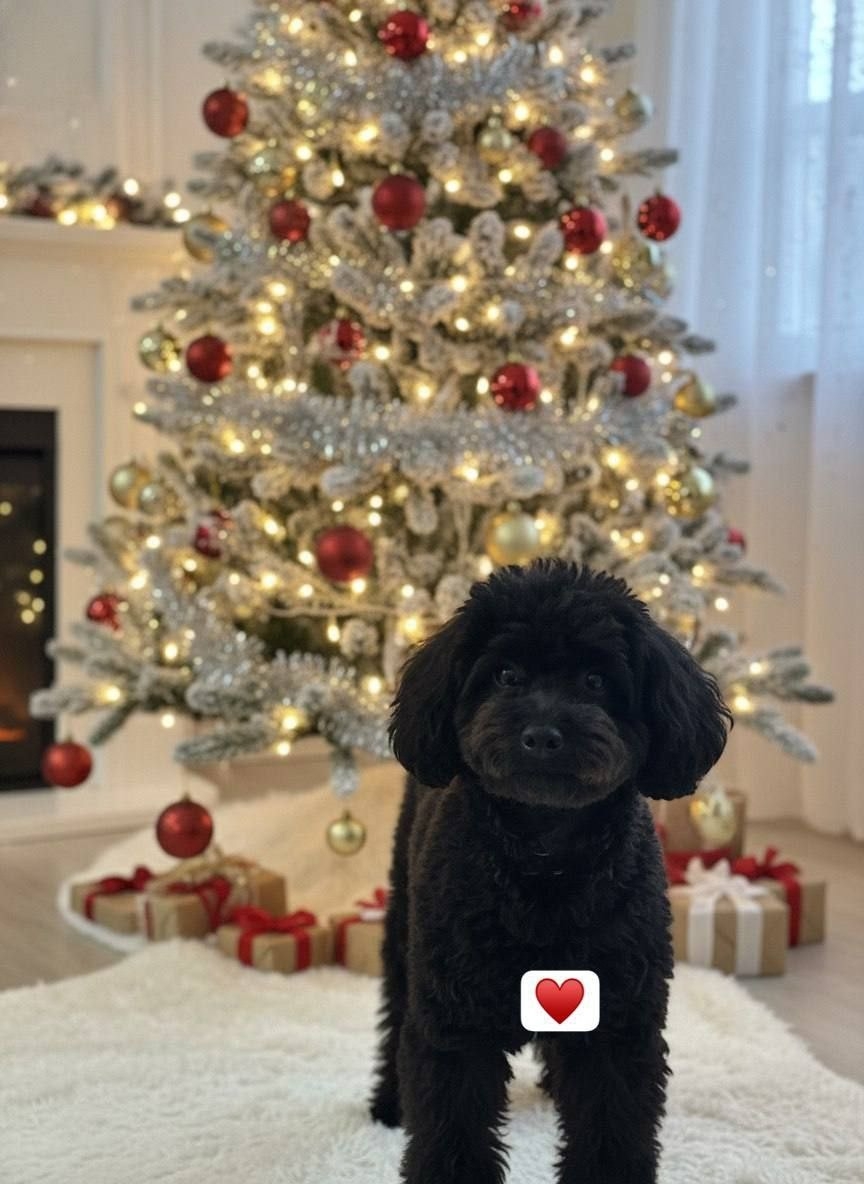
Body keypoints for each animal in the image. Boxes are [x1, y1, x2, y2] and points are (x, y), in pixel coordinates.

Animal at [371, 560, 731, 1184]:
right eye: (505, 674)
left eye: (595, 680)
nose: (541, 735)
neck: (543, 860)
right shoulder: (455, 1025)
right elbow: (451, 1134)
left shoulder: (617, 1023)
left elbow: (610, 1132)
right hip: (405, 934)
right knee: (396, 1013)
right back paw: (390, 1103)